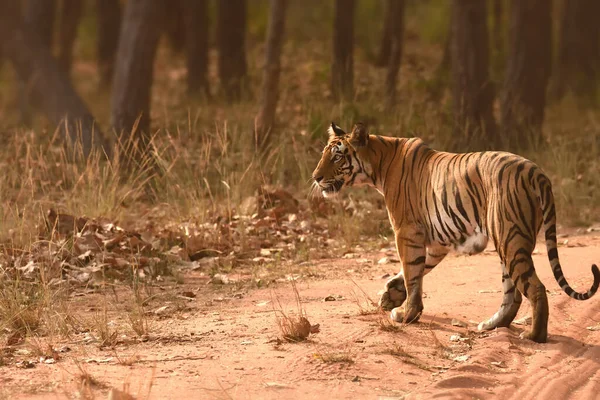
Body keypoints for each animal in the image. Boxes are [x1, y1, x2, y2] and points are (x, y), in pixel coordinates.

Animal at [312, 120, 596, 342]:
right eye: (325, 154)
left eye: (337, 156)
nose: (315, 177)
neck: (379, 162)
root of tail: (537, 173)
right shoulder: (438, 242)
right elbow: (417, 269)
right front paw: (391, 294)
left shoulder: (406, 231)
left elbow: (412, 272)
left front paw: (407, 314)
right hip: (508, 242)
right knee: (512, 293)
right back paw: (492, 325)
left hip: (510, 238)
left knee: (534, 288)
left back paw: (534, 336)